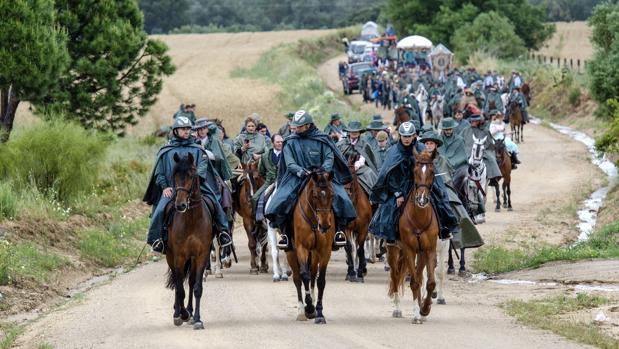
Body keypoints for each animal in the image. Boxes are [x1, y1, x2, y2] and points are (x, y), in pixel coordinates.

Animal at [165, 152, 213, 328]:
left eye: (192, 175)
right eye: (174, 175)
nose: (180, 205)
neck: (192, 219)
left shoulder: (201, 255)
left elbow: (197, 287)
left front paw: (197, 318)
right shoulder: (179, 256)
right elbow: (180, 289)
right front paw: (182, 314)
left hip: (192, 259)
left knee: (191, 282)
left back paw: (190, 311)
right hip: (171, 257)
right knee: (176, 281)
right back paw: (178, 312)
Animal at [288, 167, 336, 322]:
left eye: (332, 194)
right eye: (315, 195)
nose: (325, 226)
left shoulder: (325, 250)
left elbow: (320, 280)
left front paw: (319, 312)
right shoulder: (301, 248)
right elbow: (304, 276)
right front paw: (308, 307)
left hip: (314, 253)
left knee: (313, 274)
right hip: (291, 252)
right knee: (298, 278)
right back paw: (301, 311)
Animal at [388, 147, 440, 324]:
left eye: (432, 171)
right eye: (415, 171)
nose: (422, 199)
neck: (419, 218)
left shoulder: (429, 249)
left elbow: (429, 282)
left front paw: (425, 309)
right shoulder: (409, 250)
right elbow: (415, 283)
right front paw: (417, 314)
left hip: (420, 253)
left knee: (418, 275)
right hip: (394, 250)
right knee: (395, 275)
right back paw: (397, 309)